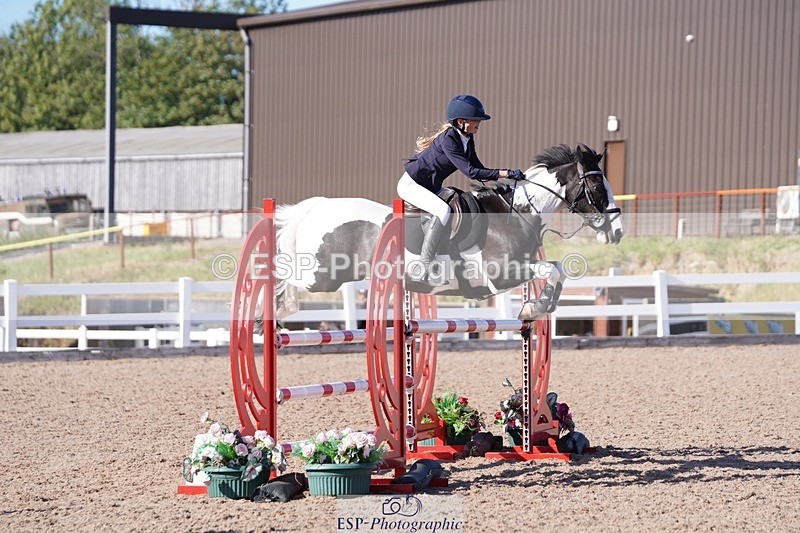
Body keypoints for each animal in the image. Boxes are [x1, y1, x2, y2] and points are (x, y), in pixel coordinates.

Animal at [271, 143, 624, 320]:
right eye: (597, 186)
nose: (618, 231)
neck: (516, 213)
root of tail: (315, 206)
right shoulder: (501, 274)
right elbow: (550, 269)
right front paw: (536, 306)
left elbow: (558, 269)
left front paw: (540, 306)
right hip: (321, 276)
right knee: (285, 277)